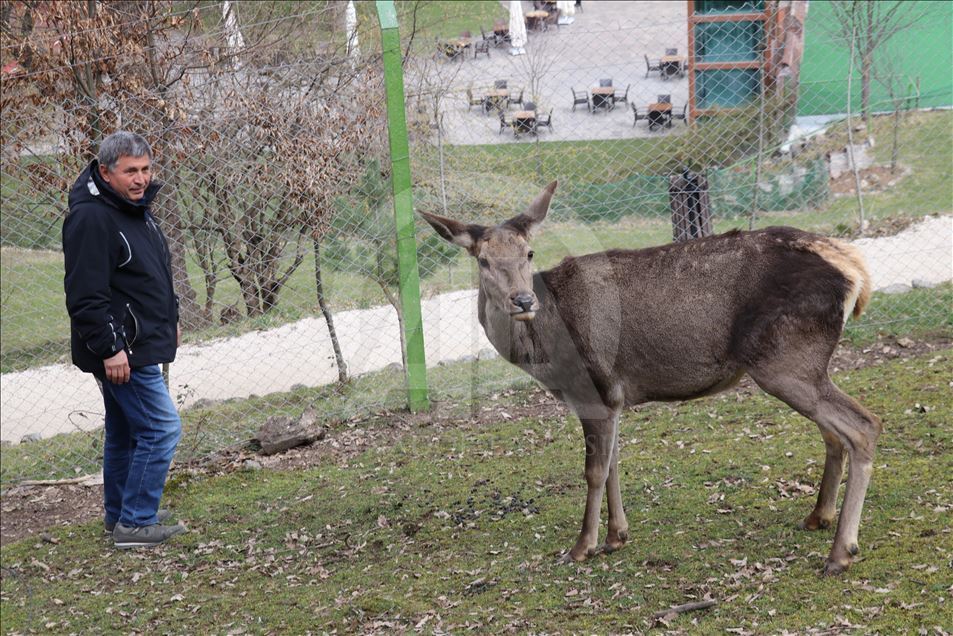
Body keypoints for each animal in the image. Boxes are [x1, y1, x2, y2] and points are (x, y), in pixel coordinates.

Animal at [420, 180, 880, 576]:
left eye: (530, 253)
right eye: (483, 260)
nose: (522, 300)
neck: (541, 353)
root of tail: (856, 269)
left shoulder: (593, 388)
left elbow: (594, 470)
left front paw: (582, 546)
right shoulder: (613, 398)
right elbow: (612, 464)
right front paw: (617, 536)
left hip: (785, 360)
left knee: (863, 425)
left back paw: (841, 551)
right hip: (804, 364)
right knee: (834, 431)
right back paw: (818, 517)